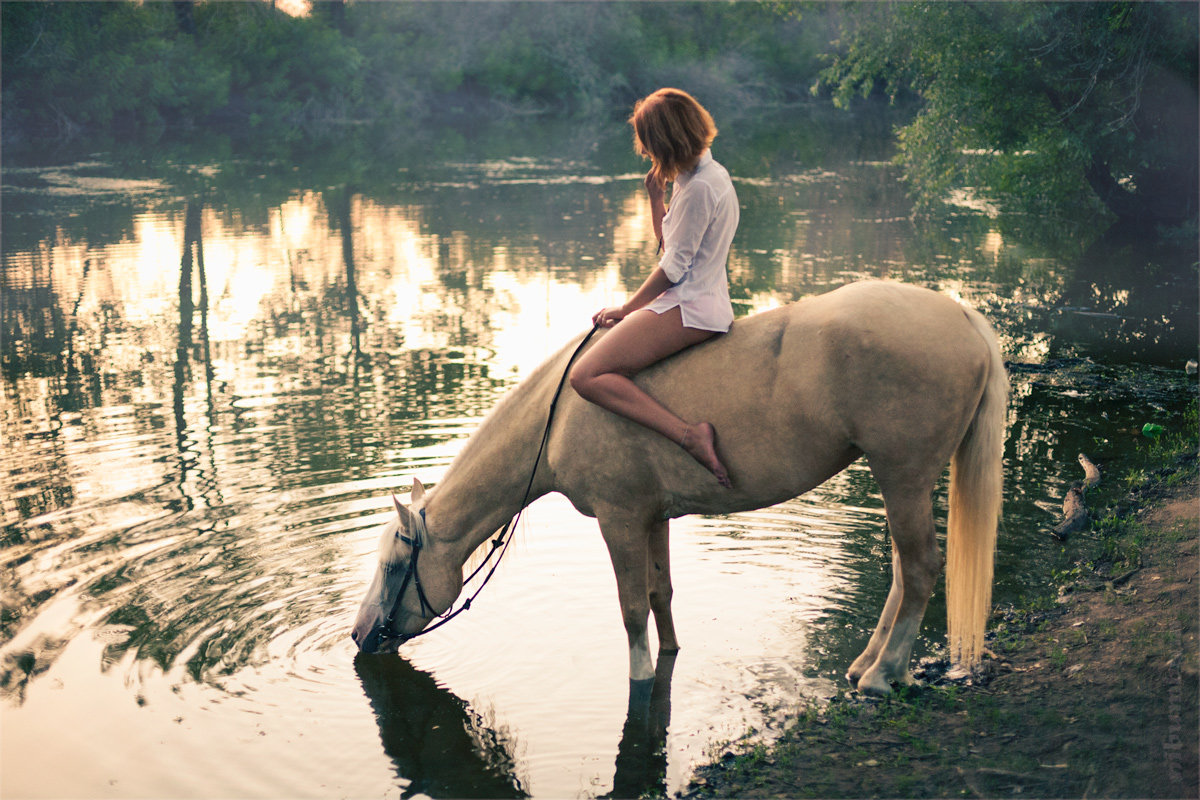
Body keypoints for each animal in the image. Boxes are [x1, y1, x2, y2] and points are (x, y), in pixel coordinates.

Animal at [350, 281, 1008, 695]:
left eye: (394, 567)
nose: (359, 635)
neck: (561, 412)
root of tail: (963, 318)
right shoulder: (654, 516)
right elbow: (661, 595)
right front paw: (668, 657)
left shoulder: (619, 519)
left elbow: (631, 609)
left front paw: (641, 679)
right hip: (901, 480)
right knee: (902, 570)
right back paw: (868, 663)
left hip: (904, 476)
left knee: (919, 569)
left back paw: (881, 674)